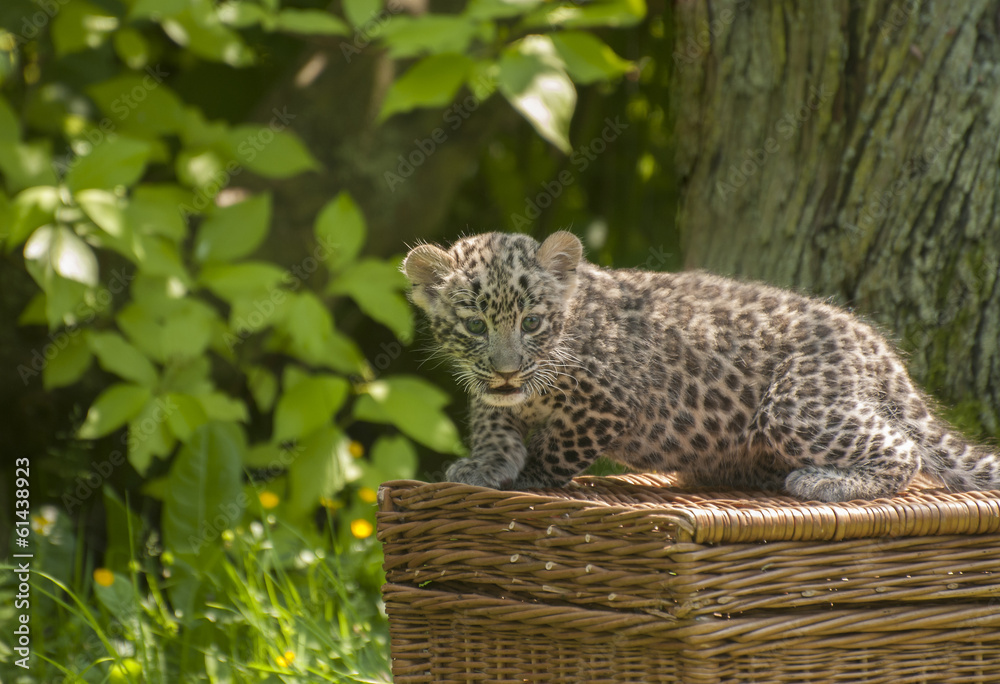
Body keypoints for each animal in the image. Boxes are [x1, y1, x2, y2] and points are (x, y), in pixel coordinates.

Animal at [402, 230, 1000, 502]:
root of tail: (875, 346)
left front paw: (531, 478)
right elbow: (493, 422)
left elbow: (559, 447)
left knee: (905, 449)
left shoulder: (607, 403)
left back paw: (825, 481)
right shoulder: (493, 395)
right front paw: (484, 465)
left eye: (531, 322)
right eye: (475, 326)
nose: (506, 369)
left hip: (797, 404)